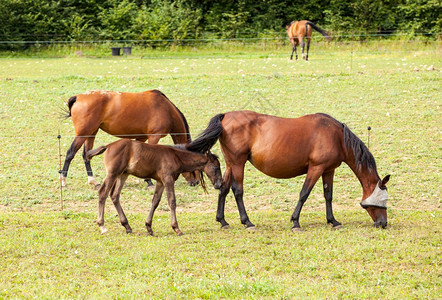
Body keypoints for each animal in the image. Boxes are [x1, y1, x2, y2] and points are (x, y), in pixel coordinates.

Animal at [60, 88, 199, 188]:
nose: (196, 182)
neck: (166, 108)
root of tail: (78, 97)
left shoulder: (141, 138)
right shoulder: (154, 137)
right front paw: (149, 181)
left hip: (91, 133)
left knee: (86, 155)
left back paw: (93, 181)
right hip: (83, 134)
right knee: (70, 153)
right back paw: (63, 181)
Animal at [86, 139, 223, 237]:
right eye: (216, 167)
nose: (219, 184)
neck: (175, 156)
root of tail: (109, 145)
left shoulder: (160, 181)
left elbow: (155, 202)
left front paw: (149, 227)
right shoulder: (168, 179)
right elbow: (172, 201)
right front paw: (177, 229)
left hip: (123, 174)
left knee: (114, 195)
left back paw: (127, 226)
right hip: (113, 173)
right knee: (103, 192)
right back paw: (102, 226)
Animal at [188, 111, 392, 231]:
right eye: (383, 200)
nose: (383, 223)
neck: (337, 136)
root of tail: (226, 116)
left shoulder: (328, 170)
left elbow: (328, 196)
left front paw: (332, 221)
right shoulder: (316, 168)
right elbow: (304, 194)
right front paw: (295, 222)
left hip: (231, 164)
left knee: (223, 189)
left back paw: (223, 221)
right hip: (238, 164)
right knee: (237, 191)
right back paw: (247, 222)